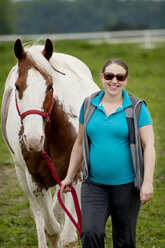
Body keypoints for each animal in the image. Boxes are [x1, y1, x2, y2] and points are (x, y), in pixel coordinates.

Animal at [1, 39, 99, 248]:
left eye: (50, 86)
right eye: (17, 87)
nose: (33, 139)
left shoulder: (76, 176)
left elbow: (68, 236)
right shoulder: (35, 181)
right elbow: (52, 230)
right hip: (21, 174)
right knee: (39, 215)